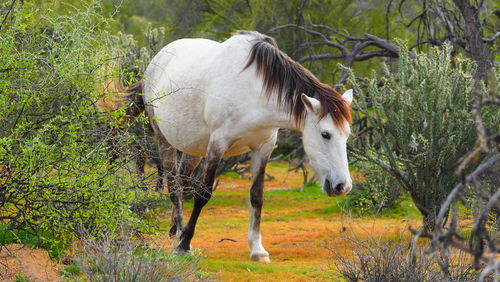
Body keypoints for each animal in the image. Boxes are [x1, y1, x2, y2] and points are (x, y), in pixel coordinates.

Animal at [127, 30, 354, 262]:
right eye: (325, 134)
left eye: (347, 134)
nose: (342, 186)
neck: (254, 91)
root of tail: (156, 60)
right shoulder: (218, 143)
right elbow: (203, 194)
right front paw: (185, 243)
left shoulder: (264, 147)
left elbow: (256, 196)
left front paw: (257, 249)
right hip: (164, 138)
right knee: (174, 186)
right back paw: (179, 237)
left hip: (194, 148)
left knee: (183, 182)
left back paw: (175, 232)